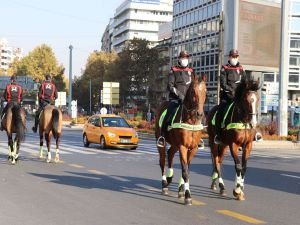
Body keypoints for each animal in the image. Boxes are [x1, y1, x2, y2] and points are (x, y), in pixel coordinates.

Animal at [155, 72, 206, 206]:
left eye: (205, 91)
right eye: (193, 91)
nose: (200, 114)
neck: (191, 121)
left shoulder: (193, 148)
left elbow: (187, 168)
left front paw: (181, 190)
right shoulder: (183, 147)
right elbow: (185, 171)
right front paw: (188, 196)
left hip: (175, 144)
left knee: (170, 154)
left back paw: (169, 178)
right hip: (161, 142)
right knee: (162, 160)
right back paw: (164, 184)